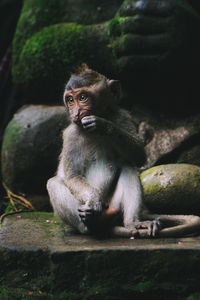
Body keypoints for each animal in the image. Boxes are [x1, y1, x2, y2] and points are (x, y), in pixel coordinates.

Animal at [47, 64, 200, 238]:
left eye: (83, 97)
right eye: (71, 100)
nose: (76, 112)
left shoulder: (122, 117)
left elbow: (139, 156)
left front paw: (104, 125)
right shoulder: (71, 135)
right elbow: (73, 176)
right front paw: (93, 200)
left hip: (114, 203)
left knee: (128, 166)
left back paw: (133, 222)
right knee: (53, 183)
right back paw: (91, 225)